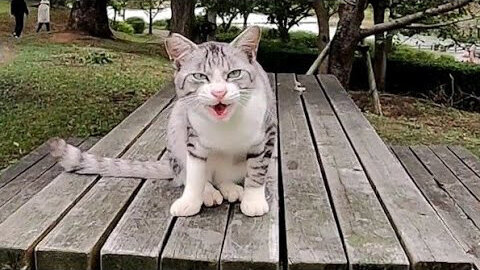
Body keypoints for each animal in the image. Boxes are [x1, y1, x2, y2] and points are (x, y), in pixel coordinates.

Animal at [49, 26, 276, 217]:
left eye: (234, 73)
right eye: (199, 76)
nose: (218, 92)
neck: (225, 125)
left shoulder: (267, 134)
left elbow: (257, 170)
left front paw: (254, 200)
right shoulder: (193, 138)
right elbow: (195, 173)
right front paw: (191, 200)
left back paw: (230, 187)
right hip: (176, 122)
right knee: (186, 173)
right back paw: (209, 192)